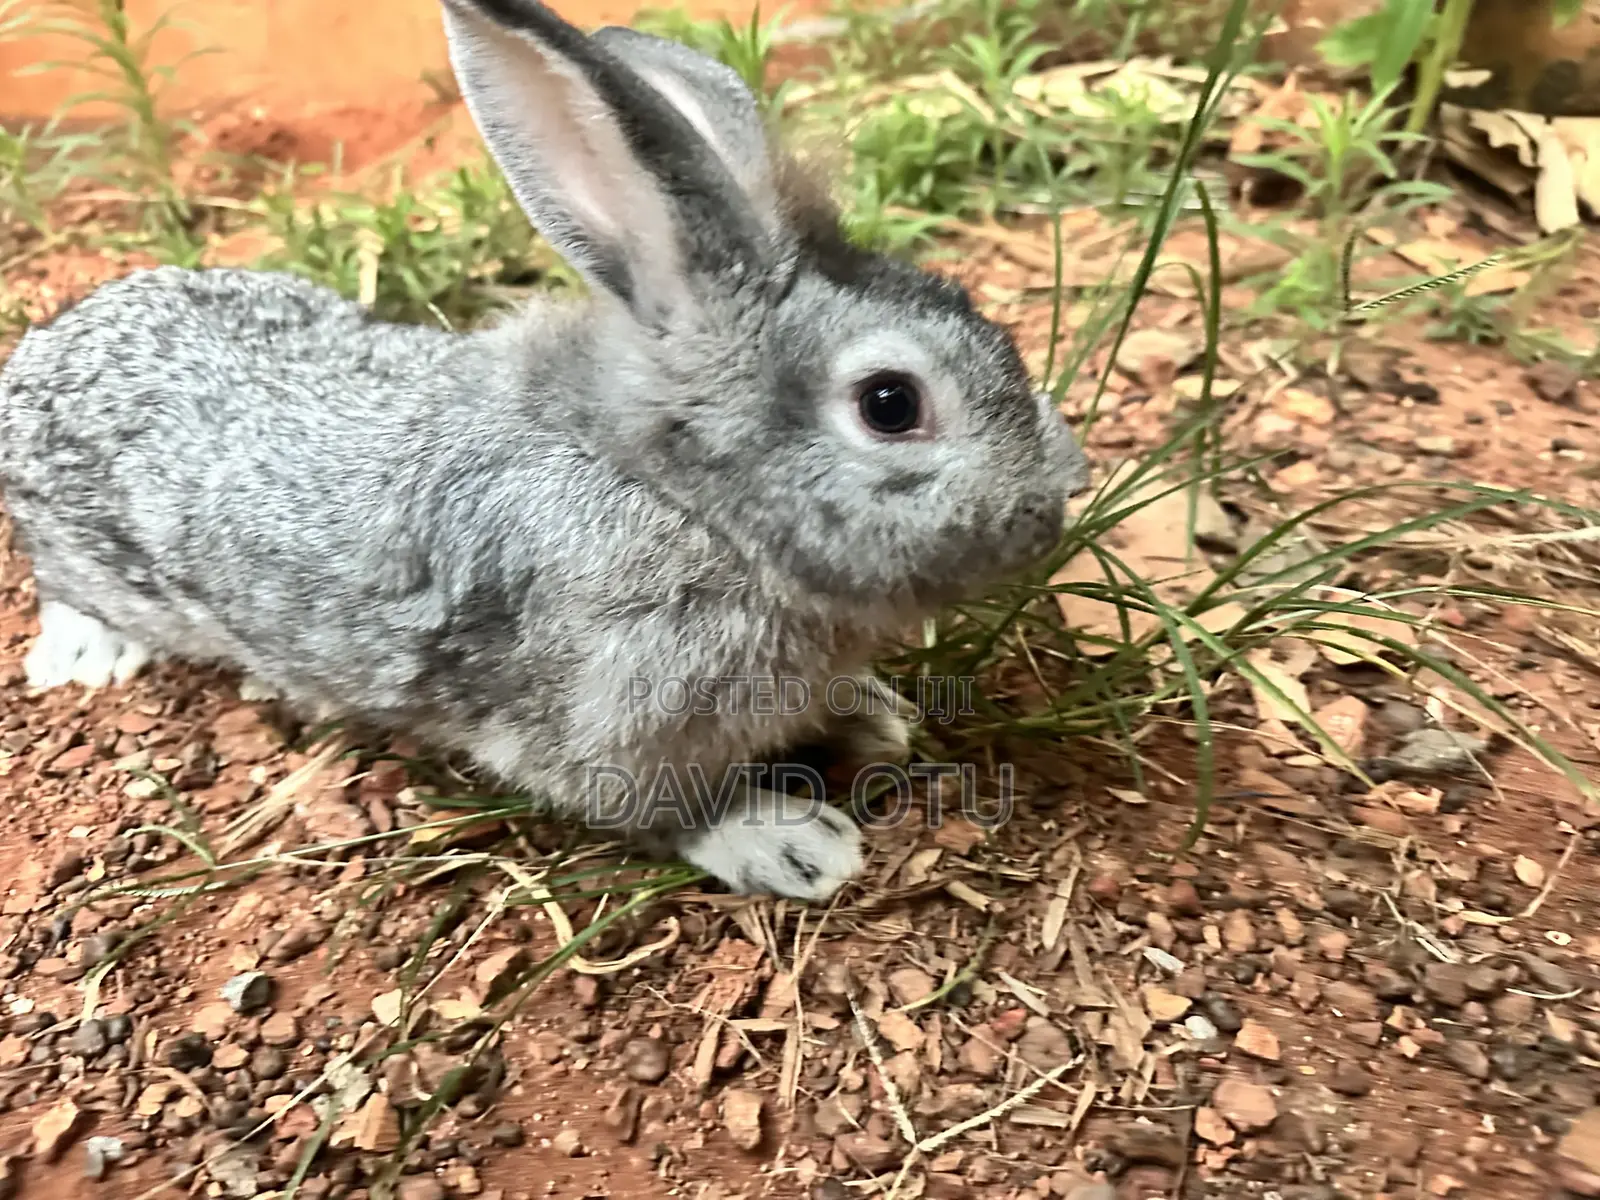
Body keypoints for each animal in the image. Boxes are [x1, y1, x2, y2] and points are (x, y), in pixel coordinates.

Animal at [0, 0, 1091, 902]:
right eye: (890, 403)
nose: (1065, 484)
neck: (684, 498)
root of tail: (38, 360)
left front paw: (871, 715)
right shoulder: (612, 715)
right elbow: (662, 808)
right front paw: (791, 844)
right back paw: (86, 655)